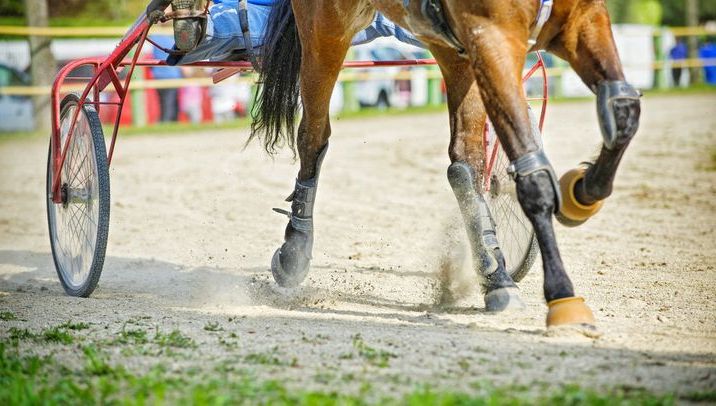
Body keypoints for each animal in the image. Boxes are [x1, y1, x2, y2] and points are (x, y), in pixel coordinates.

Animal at [249, 0, 640, 334]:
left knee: (465, 162)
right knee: (313, 136)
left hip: (453, 48)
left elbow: (624, 109)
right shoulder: (493, 36)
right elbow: (533, 176)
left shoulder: (584, 19)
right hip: (327, 28)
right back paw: (295, 250)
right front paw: (563, 297)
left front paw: (581, 194)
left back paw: (495, 274)